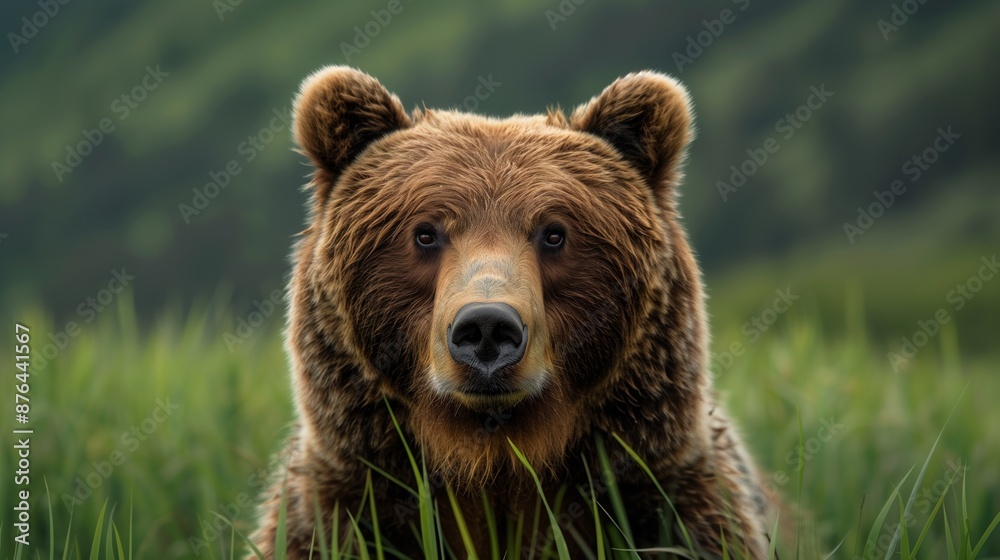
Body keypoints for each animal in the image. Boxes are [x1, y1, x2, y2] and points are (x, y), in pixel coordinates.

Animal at [250, 66, 772, 559]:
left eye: (554, 233)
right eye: (425, 233)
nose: (486, 327)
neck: (493, 458)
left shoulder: (669, 498)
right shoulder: (342, 505)